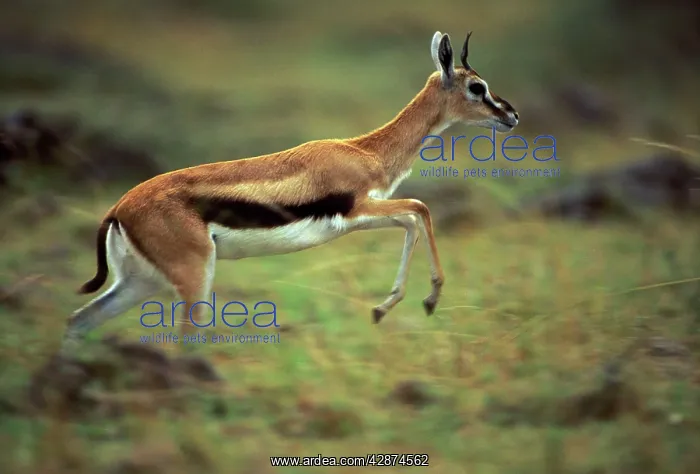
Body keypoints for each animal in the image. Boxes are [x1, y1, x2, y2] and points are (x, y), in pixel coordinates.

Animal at [62, 31, 518, 349]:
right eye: (477, 87)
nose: (511, 115)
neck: (363, 151)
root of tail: (119, 208)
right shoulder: (358, 211)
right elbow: (420, 209)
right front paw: (425, 300)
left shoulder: (361, 217)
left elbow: (410, 220)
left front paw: (382, 308)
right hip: (193, 280)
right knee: (184, 340)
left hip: (141, 283)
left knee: (77, 321)